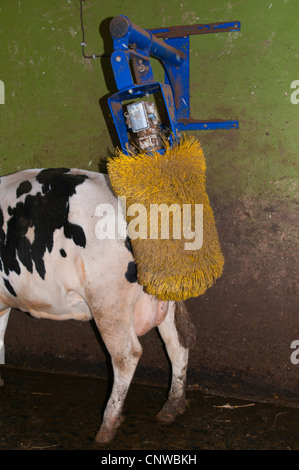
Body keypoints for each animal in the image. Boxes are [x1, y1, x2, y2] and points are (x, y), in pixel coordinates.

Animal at [0, 168, 197, 444]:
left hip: (107, 300)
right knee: (177, 342)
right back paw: (172, 407)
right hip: (166, 291)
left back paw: (107, 426)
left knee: (126, 355)